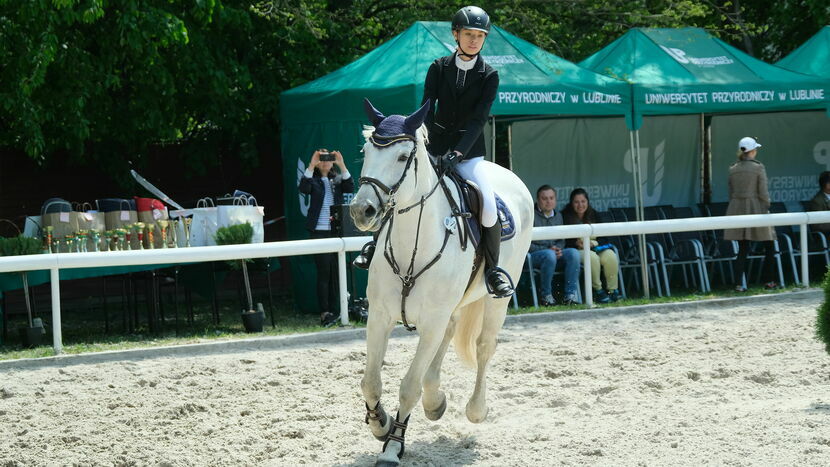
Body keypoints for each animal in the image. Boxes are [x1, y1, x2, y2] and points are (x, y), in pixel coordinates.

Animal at [350, 100, 532, 466]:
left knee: (484, 345)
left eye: (402, 157)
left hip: (498, 298)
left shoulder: (430, 322)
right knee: (450, 331)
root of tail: (508, 175)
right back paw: (435, 400)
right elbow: (370, 382)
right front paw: (380, 424)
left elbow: (408, 386)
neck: (412, 246)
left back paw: (476, 409)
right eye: (365, 151)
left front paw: (392, 447)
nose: (362, 210)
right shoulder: (379, 317)